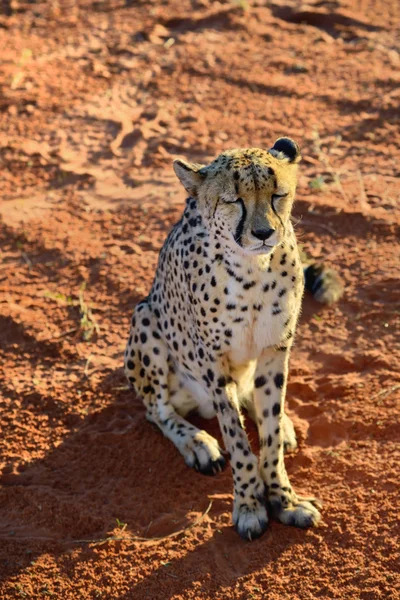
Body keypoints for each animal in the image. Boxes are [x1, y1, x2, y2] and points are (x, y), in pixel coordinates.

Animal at [125, 139, 344, 540]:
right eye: (233, 200)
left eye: (278, 195)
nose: (264, 233)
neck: (252, 271)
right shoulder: (214, 363)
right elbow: (237, 440)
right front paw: (249, 504)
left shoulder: (275, 350)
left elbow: (269, 437)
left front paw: (284, 499)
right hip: (146, 318)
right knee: (156, 410)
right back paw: (197, 442)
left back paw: (284, 424)